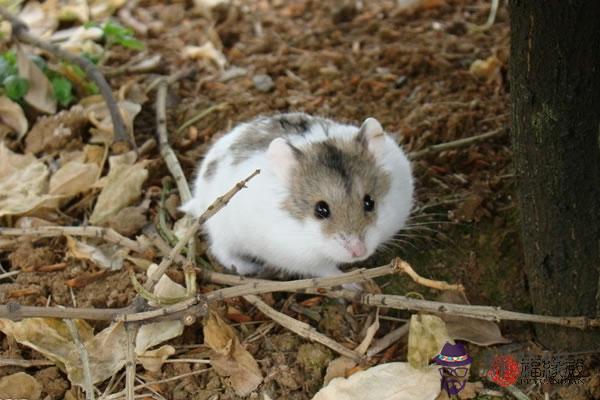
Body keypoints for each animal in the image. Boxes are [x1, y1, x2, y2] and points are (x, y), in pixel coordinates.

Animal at [180, 111, 414, 278]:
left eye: (369, 202)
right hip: (223, 229)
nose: (359, 252)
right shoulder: (298, 258)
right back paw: (248, 268)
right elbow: (327, 271)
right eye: (321, 210)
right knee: (220, 250)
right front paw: (356, 285)